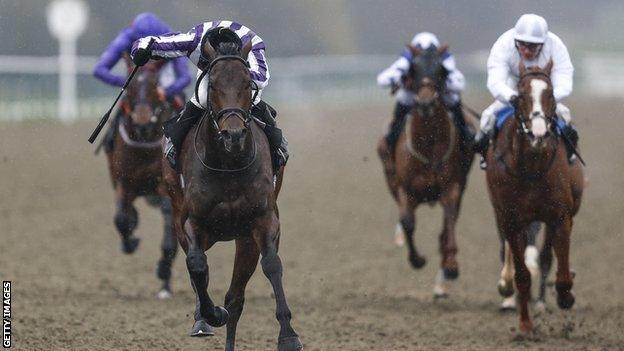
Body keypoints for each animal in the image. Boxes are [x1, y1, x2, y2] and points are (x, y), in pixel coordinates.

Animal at [105, 57, 178, 300]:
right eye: (131, 86)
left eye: (156, 84)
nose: (143, 122)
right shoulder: (123, 183)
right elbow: (121, 217)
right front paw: (130, 241)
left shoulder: (165, 188)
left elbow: (169, 231)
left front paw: (163, 268)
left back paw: (165, 285)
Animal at [163, 30, 302, 351]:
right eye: (213, 83)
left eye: (248, 83)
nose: (234, 134)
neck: (228, 163)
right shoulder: (193, 221)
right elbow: (197, 265)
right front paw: (210, 315)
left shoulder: (264, 220)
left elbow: (272, 265)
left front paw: (288, 335)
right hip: (182, 218)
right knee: (197, 269)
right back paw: (203, 317)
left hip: (244, 238)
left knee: (235, 298)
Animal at [378, 43, 476, 296]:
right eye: (413, 69)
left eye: (441, 70)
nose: (425, 103)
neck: (429, 144)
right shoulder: (405, 189)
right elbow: (407, 221)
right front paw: (417, 259)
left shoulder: (452, 187)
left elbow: (448, 223)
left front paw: (451, 266)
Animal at [486, 62, 584, 334]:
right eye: (520, 95)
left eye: (550, 93)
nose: (538, 133)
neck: (530, 167)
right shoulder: (510, 219)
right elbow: (522, 275)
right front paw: (525, 324)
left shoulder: (560, 216)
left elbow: (559, 270)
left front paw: (565, 296)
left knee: (547, 257)